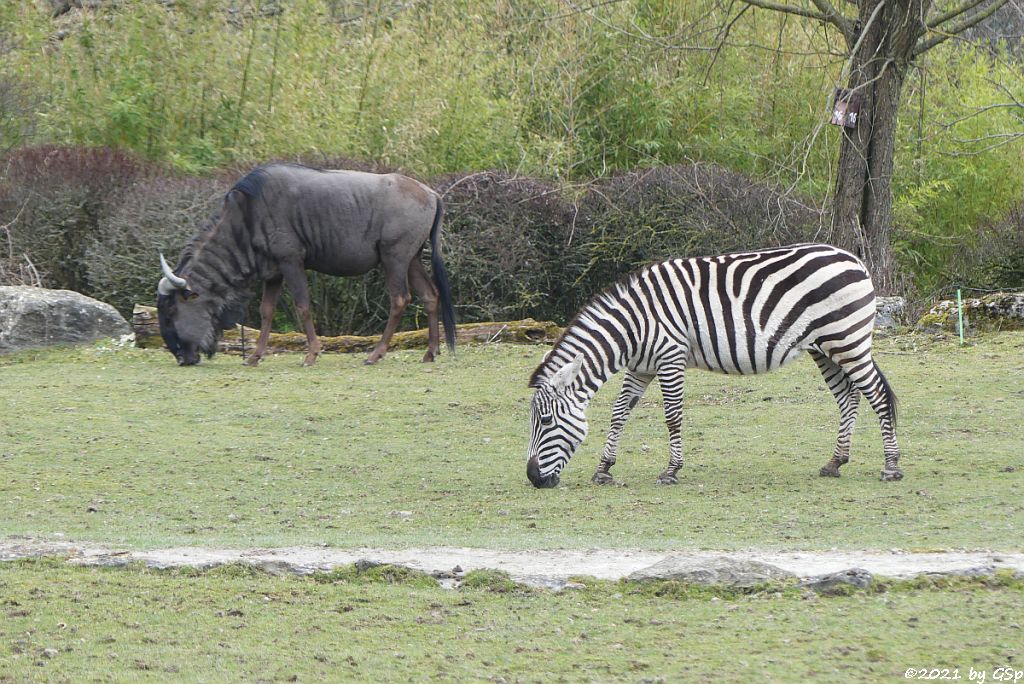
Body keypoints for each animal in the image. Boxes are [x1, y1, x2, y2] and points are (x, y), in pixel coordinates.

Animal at [528, 242, 905, 489]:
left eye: (545, 422)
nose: (533, 478)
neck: (632, 327)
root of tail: (854, 259)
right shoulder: (641, 367)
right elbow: (619, 413)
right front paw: (604, 468)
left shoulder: (670, 357)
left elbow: (673, 416)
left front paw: (671, 471)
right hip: (825, 347)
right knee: (848, 397)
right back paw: (835, 462)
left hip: (847, 339)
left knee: (876, 395)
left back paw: (891, 467)